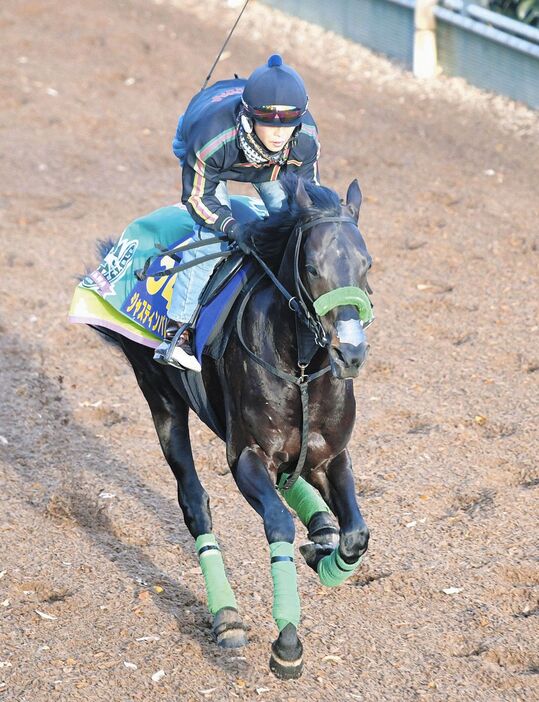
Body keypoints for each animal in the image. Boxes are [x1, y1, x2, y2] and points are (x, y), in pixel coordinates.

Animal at [89, 177, 376, 680]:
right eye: (312, 267)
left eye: (366, 265)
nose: (351, 354)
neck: (302, 369)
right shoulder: (245, 456)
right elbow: (277, 523)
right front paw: (287, 642)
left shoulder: (331, 455)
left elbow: (356, 533)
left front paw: (326, 555)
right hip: (161, 399)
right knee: (194, 503)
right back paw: (227, 616)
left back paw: (320, 527)